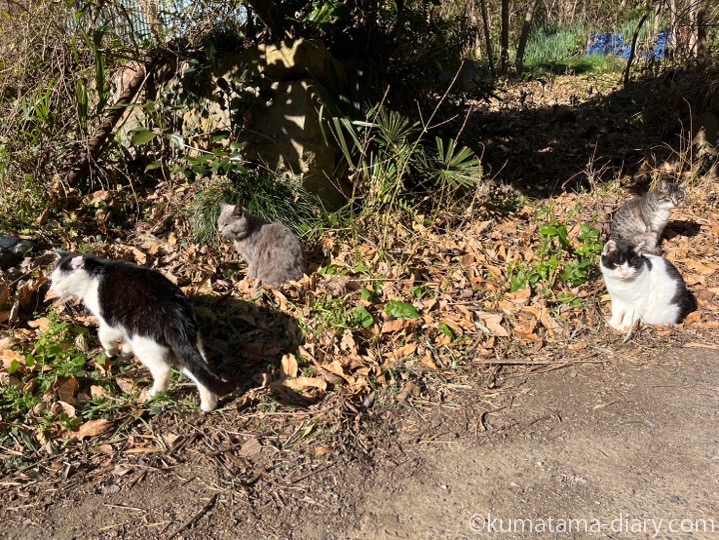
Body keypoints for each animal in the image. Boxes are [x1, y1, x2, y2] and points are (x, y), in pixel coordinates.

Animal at [48, 251, 233, 412]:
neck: (94, 277)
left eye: (58, 281)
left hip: (144, 342)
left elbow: (103, 336)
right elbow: (125, 345)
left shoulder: (110, 322)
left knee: (163, 371)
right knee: (200, 370)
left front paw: (111, 351)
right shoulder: (124, 329)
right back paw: (208, 404)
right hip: (183, 347)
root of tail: (175, 312)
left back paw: (152, 395)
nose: (50, 291)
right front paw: (123, 355)